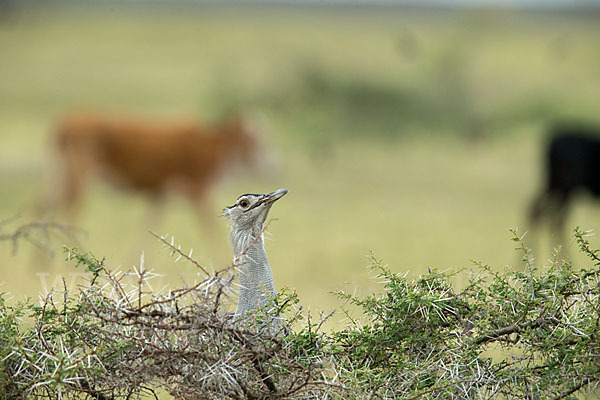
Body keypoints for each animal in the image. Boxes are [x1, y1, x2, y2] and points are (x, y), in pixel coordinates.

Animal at [52, 111, 264, 220]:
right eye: (249, 138)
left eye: (256, 137)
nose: (264, 162)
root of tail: (65, 125)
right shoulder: (197, 191)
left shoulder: (159, 196)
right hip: (79, 176)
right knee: (68, 209)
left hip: (64, 176)